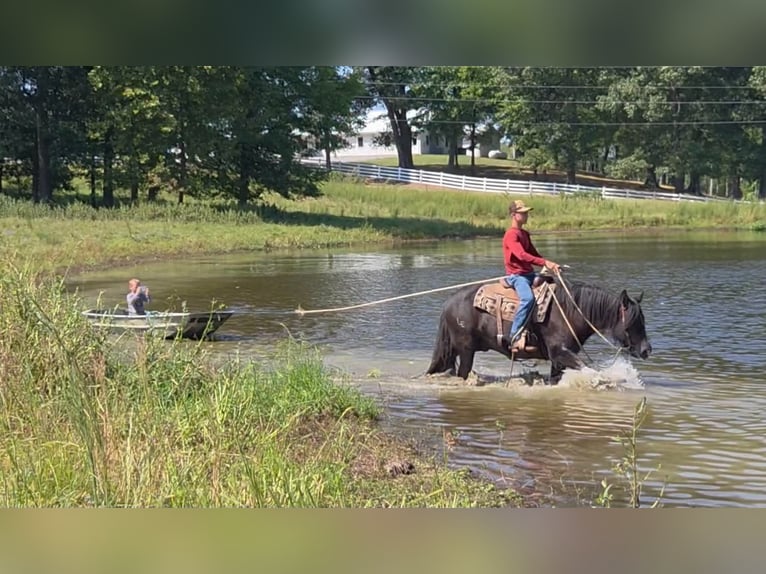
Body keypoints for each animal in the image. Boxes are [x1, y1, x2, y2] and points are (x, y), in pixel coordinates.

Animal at [426, 277, 652, 384]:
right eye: (634, 321)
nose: (646, 350)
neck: (569, 312)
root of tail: (449, 303)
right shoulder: (560, 352)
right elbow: (587, 368)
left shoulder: (558, 360)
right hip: (466, 351)